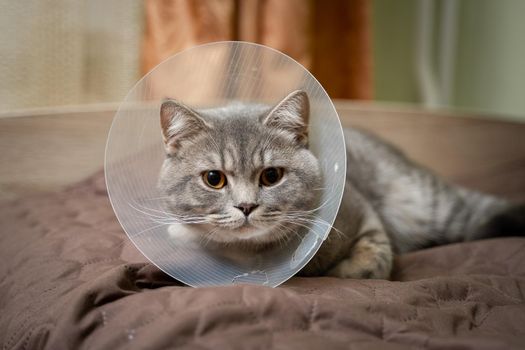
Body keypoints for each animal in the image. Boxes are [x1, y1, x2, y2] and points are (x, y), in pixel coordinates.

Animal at [157, 89, 524, 278]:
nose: (246, 206)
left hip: (430, 204)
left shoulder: (367, 217)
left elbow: (371, 261)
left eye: (271, 176)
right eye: (214, 179)